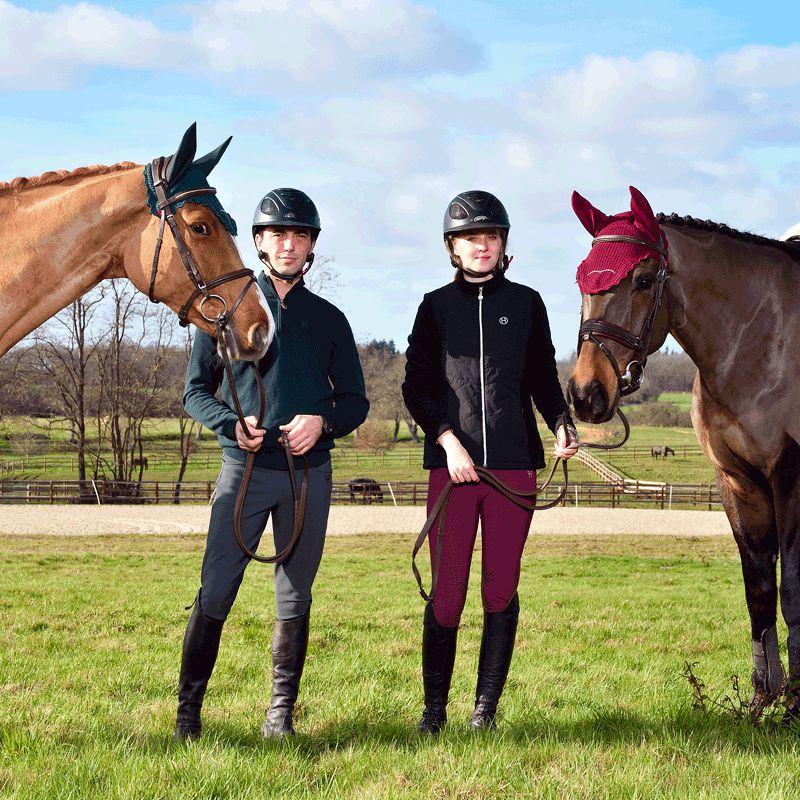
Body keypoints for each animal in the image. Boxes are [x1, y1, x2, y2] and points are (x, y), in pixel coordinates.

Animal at [567, 185, 800, 721]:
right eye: (581, 279)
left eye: (642, 279)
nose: (587, 394)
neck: (761, 342)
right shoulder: (736, 483)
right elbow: (759, 589)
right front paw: (762, 700)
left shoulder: (792, 479)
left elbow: (792, 590)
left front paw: (795, 704)